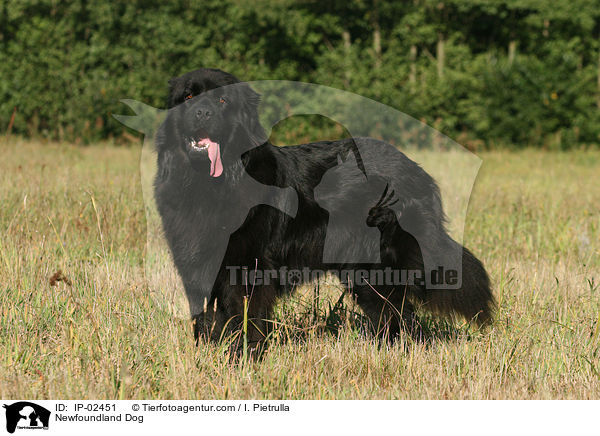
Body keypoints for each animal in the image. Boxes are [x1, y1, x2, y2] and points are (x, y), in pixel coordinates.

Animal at [154, 67, 492, 344]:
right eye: (188, 97)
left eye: (223, 101)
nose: (202, 113)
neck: (213, 183)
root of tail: (416, 169)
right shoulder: (197, 263)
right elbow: (209, 319)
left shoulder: (248, 266)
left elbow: (244, 318)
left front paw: (243, 359)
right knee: (392, 313)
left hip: (382, 262)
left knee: (400, 311)